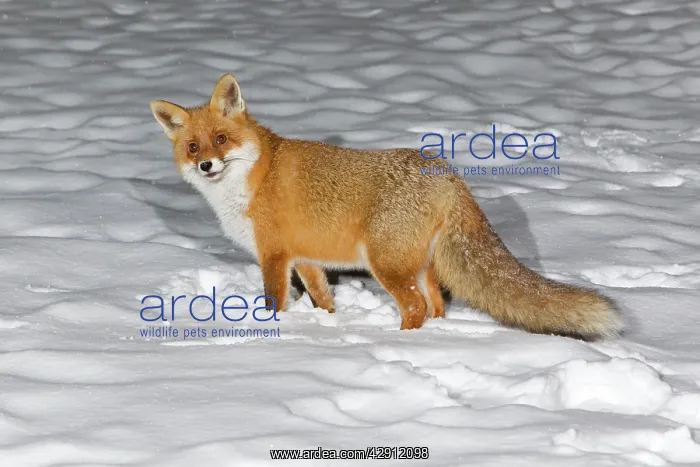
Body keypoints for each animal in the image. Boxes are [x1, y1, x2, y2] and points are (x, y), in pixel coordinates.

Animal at [150, 73, 622, 339]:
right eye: (193, 147)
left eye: (221, 140)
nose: (206, 165)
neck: (252, 179)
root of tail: (443, 170)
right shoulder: (306, 259)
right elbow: (323, 300)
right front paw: (328, 325)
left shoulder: (275, 256)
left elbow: (274, 303)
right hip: (420, 265)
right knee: (436, 305)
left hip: (387, 264)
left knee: (415, 307)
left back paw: (399, 342)